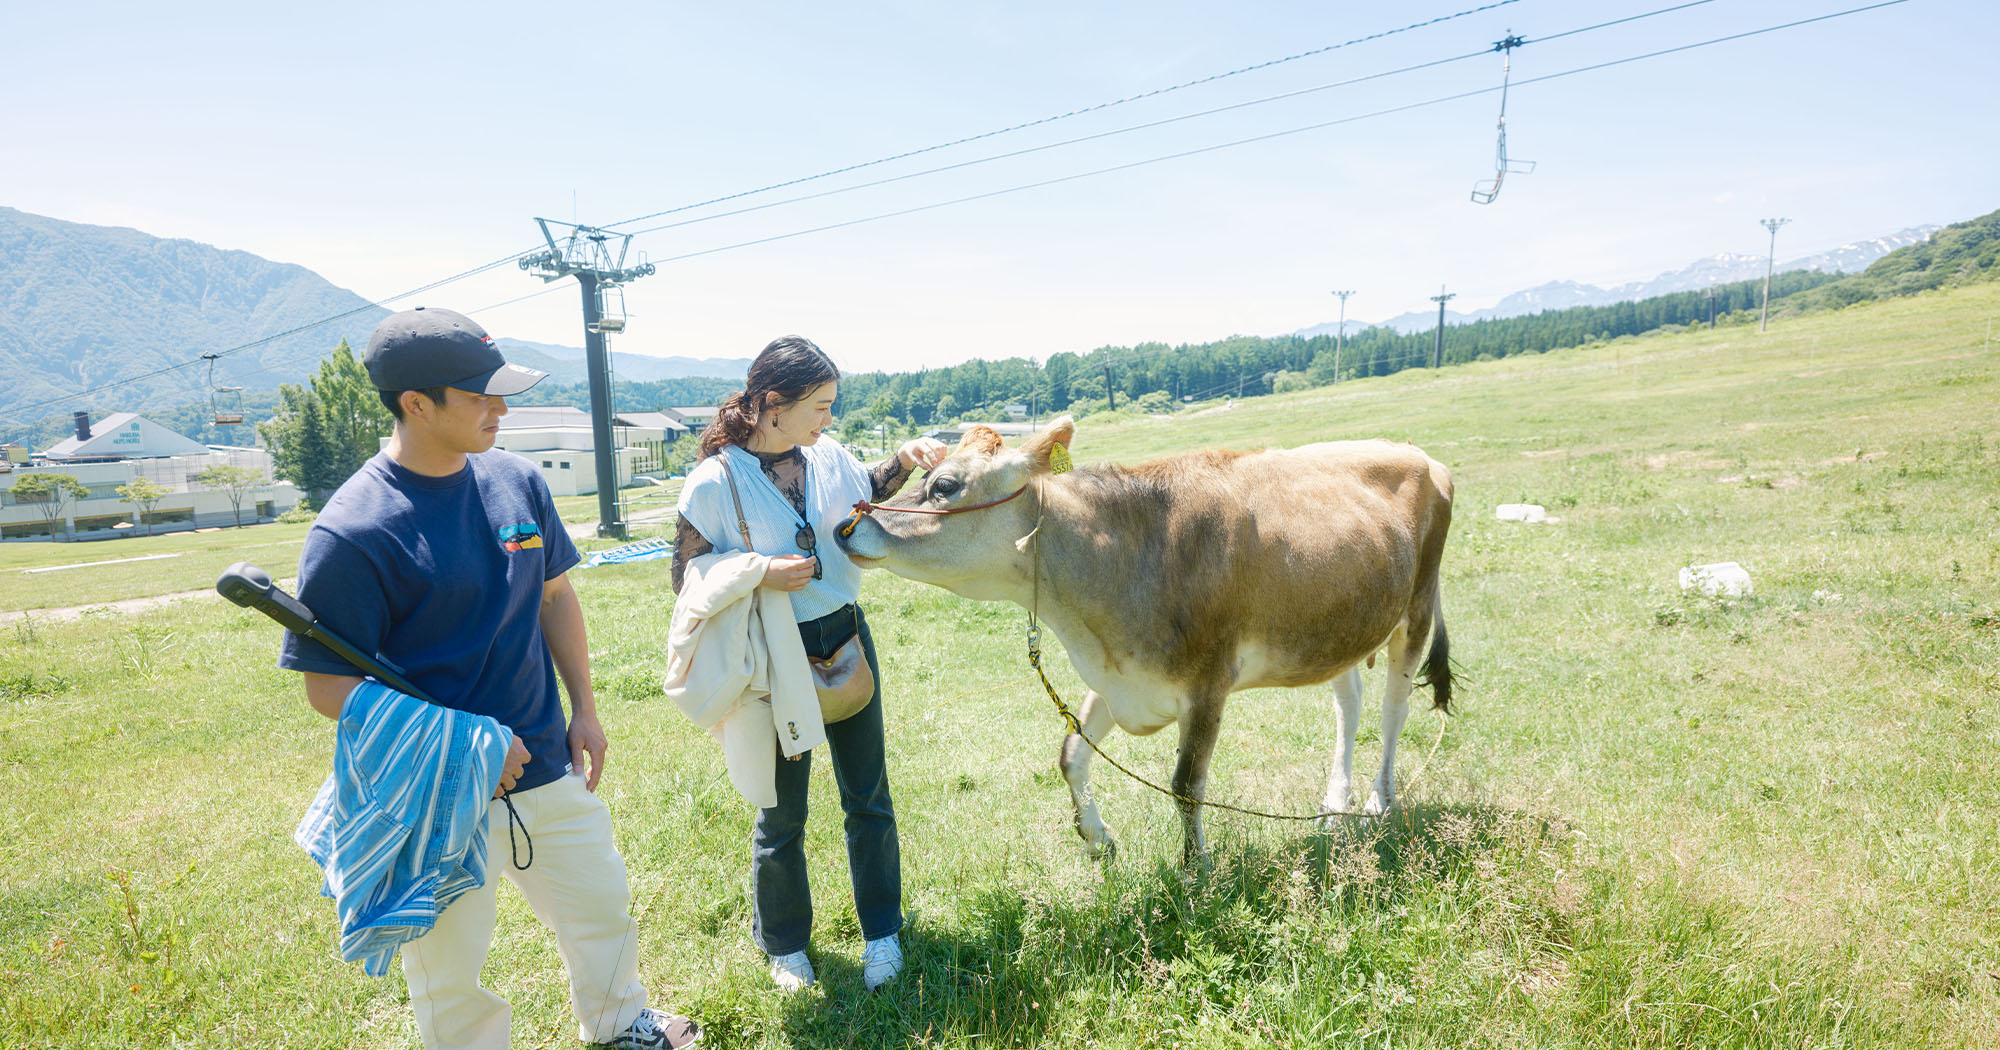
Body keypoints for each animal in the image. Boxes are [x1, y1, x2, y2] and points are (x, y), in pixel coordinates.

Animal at [832, 418, 1456, 868]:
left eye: (944, 485)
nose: (845, 527)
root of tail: (1416, 451)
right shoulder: (1121, 679)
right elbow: (1071, 752)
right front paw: (1096, 838)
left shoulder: (1207, 684)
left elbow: (1185, 785)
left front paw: (1196, 871)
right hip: (1337, 621)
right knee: (1348, 703)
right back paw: (1332, 806)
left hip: (1417, 608)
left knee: (1393, 710)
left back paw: (1377, 802)